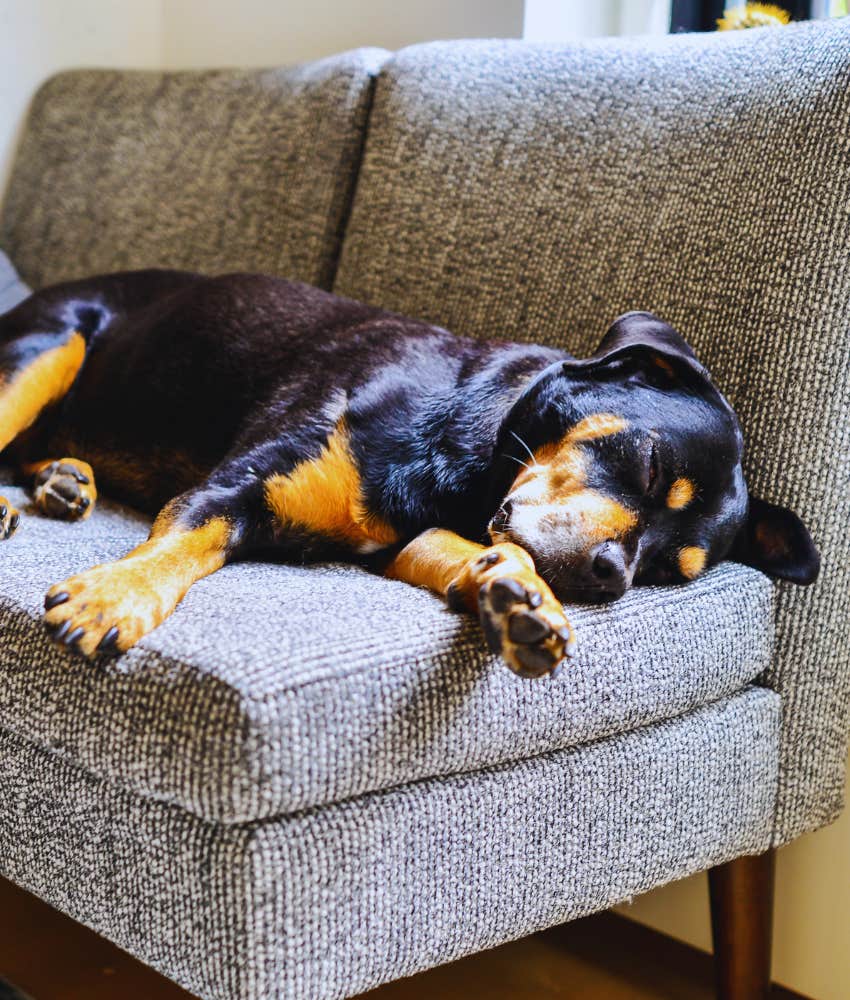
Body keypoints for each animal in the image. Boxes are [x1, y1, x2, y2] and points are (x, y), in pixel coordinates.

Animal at [1, 270, 820, 676]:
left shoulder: (416, 538)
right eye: (650, 466)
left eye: (668, 573)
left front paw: (518, 597)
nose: (610, 577)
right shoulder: (239, 480)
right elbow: (184, 542)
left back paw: (63, 480)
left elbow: (463, 550)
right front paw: (113, 597)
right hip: (50, 344)